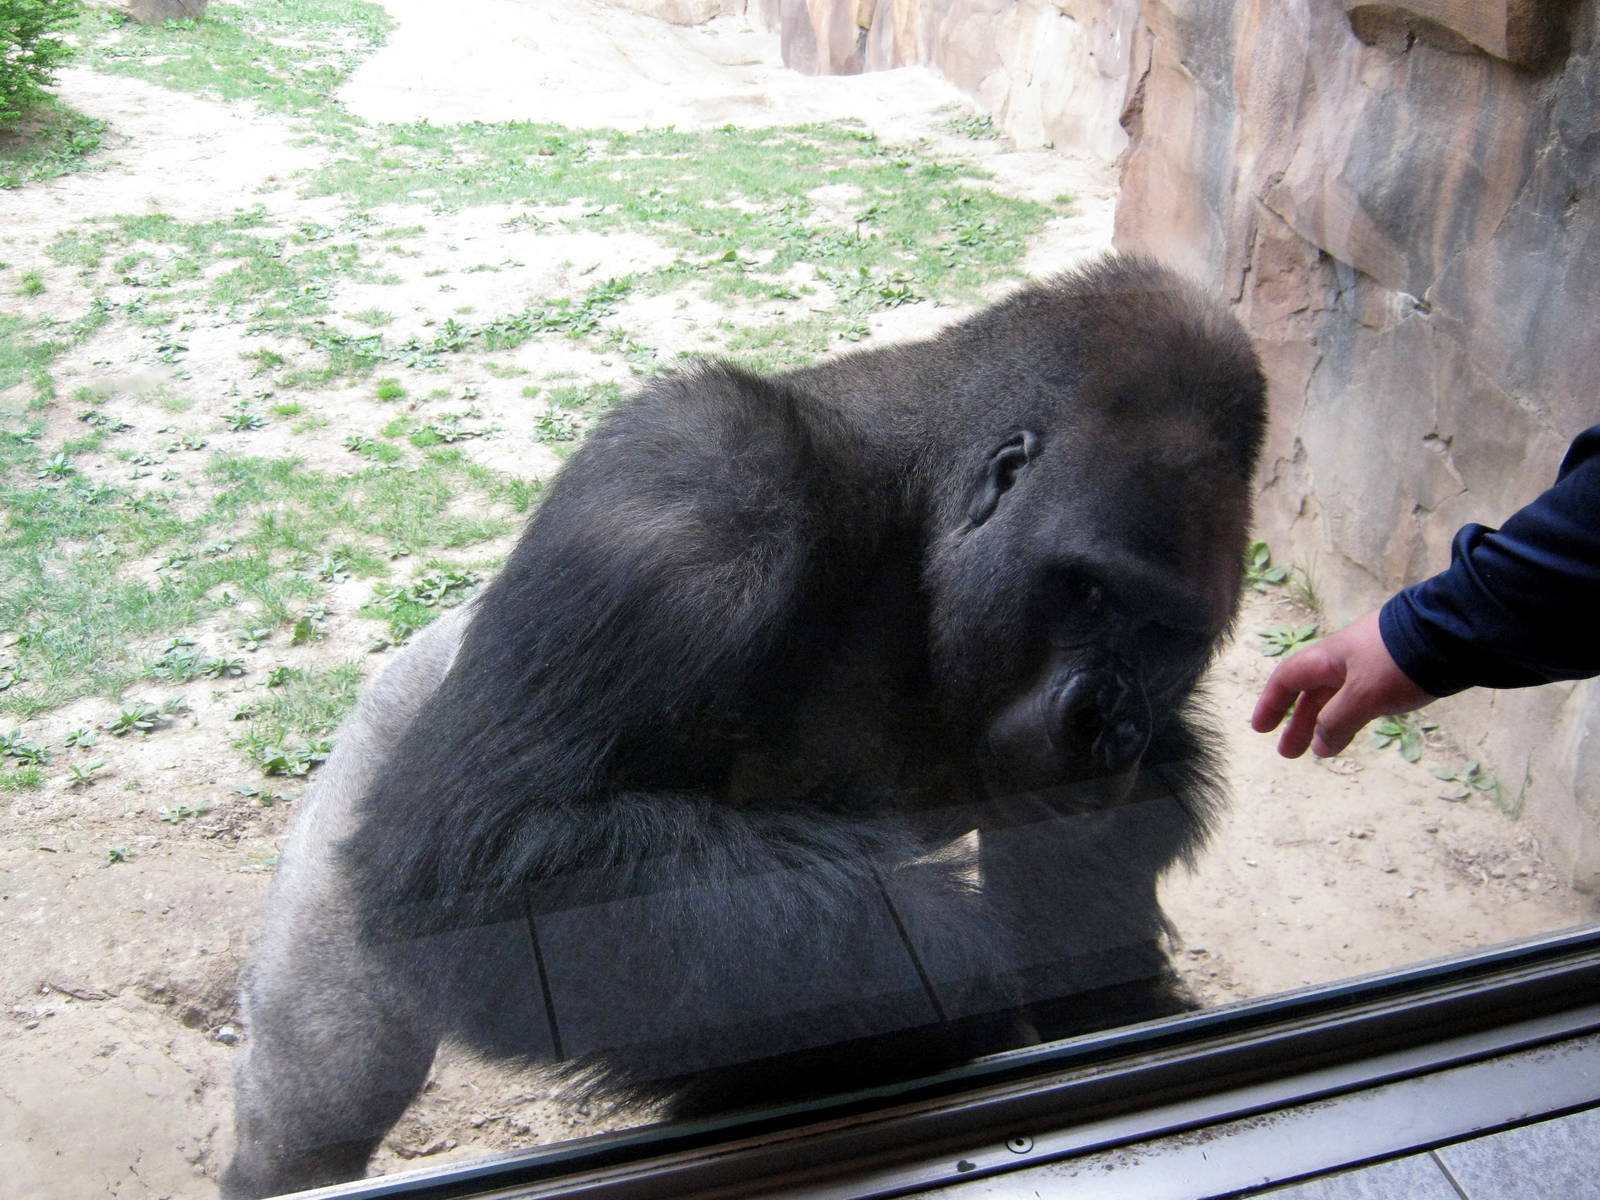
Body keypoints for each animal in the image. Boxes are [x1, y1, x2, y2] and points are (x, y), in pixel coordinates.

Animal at [221, 255, 1266, 1198]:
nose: (1106, 724)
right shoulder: (700, 493)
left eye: (1169, 631)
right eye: (1087, 588)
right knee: (324, 1103)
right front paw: (951, 974)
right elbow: (479, 860)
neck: (921, 519)